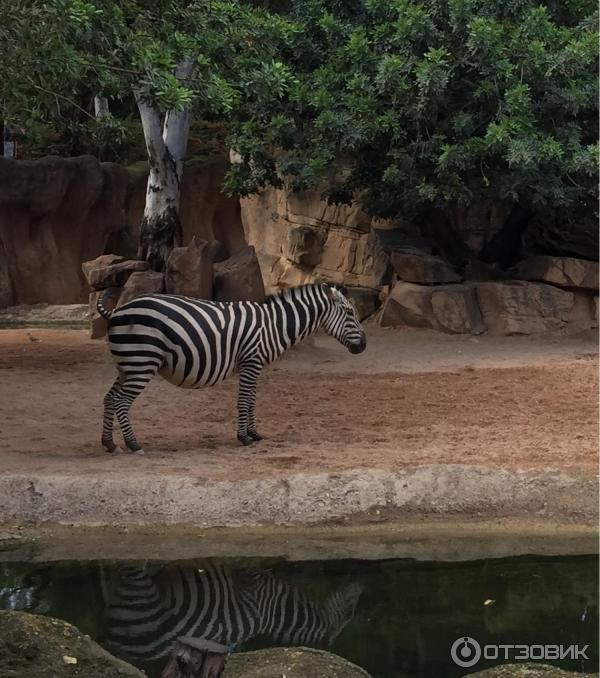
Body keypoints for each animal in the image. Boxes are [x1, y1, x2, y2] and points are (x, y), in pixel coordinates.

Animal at [97, 282, 366, 456]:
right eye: (350, 312)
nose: (363, 345)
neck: (274, 325)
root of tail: (118, 310)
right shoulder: (251, 361)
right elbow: (244, 400)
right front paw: (244, 437)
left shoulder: (255, 365)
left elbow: (252, 400)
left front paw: (255, 434)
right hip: (142, 362)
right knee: (121, 401)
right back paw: (133, 445)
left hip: (127, 364)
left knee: (109, 398)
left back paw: (110, 444)